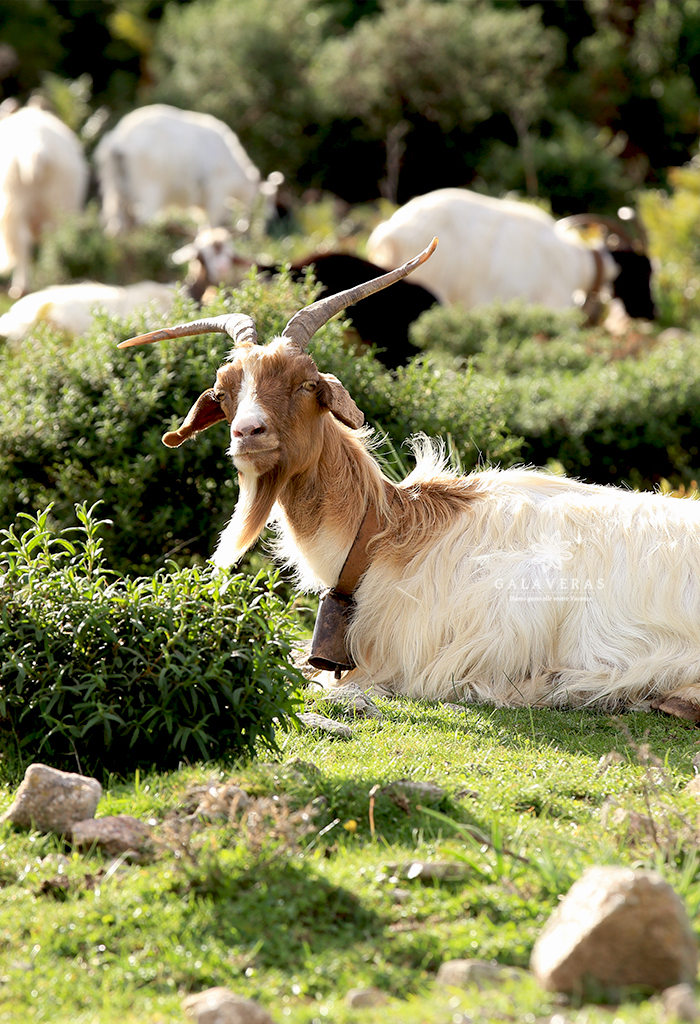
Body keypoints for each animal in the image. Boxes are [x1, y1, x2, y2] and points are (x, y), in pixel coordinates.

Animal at [0, 108, 89, 299]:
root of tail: (36, 149)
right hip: (58, 202)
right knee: (53, 240)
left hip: (14, 200)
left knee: (22, 242)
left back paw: (20, 288)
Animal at [94, 105, 282, 237]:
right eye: (267, 207)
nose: (259, 233)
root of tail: (119, 142)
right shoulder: (217, 191)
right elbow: (212, 221)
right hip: (150, 185)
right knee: (144, 218)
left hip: (114, 187)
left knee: (116, 222)